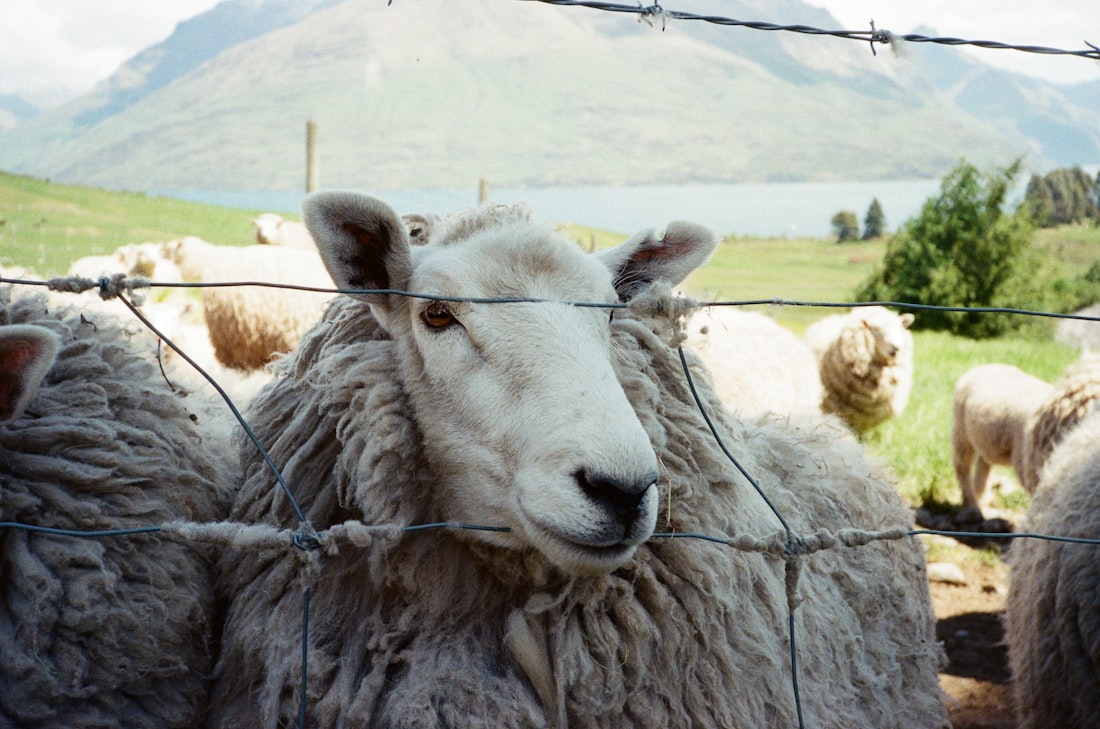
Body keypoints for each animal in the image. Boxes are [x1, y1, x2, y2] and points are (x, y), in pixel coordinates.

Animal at [951, 363, 1053, 517]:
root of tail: (987, 365)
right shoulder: (1027, 463)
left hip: (984, 437)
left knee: (983, 463)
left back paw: (982, 497)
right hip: (961, 430)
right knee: (961, 466)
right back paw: (972, 505)